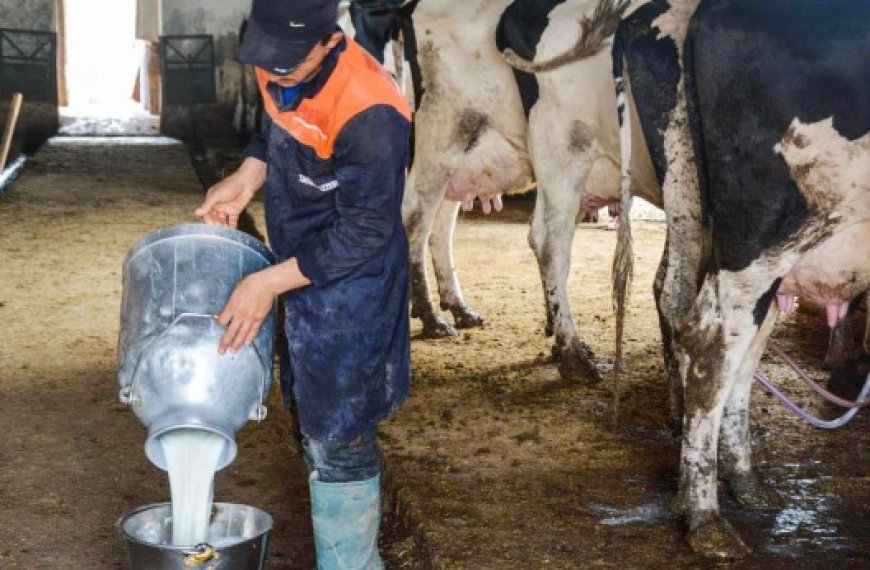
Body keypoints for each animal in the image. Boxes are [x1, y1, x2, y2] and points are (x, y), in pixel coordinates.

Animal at [402, 1, 660, 382]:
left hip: (468, 157)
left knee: (443, 226)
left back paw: (460, 308)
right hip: (443, 139)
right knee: (416, 221)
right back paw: (432, 317)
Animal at [616, 0, 868, 556]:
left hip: (706, 218)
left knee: (725, 337)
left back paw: (741, 481)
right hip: (762, 236)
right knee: (713, 342)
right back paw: (705, 517)